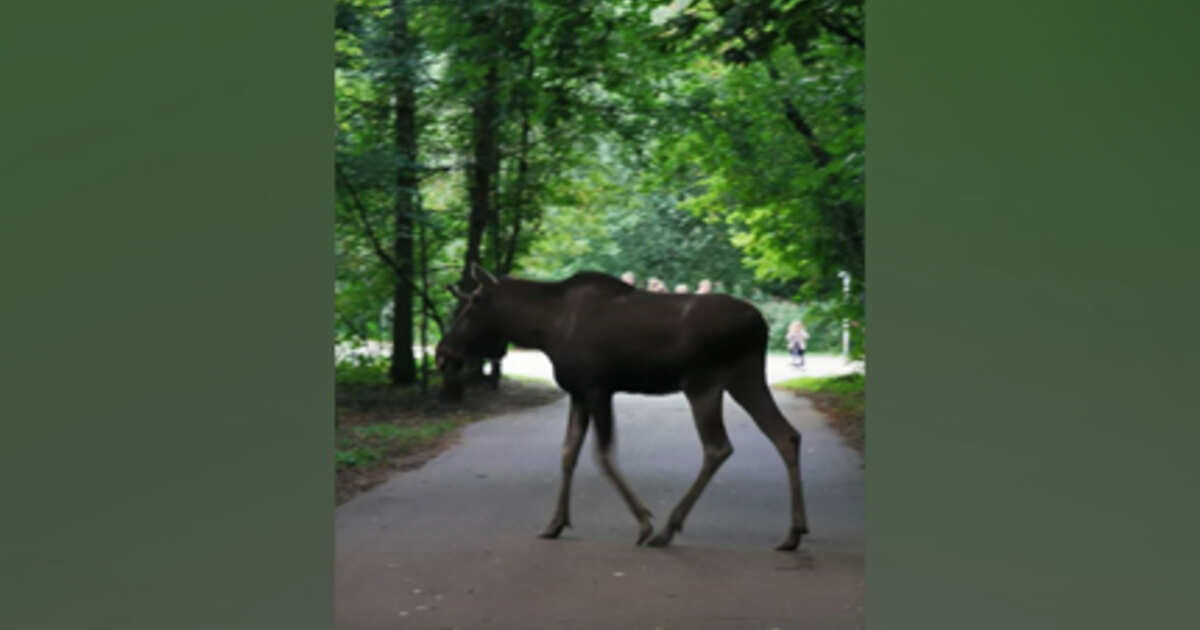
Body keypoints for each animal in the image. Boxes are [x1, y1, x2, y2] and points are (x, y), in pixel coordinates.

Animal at [436, 262, 811, 547]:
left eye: (470, 308)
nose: (442, 355)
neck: (543, 331)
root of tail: (760, 324)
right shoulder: (578, 392)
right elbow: (568, 453)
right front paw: (555, 522)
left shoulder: (597, 388)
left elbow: (602, 455)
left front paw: (644, 522)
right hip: (744, 379)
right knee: (786, 435)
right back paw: (794, 531)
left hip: (703, 384)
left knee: (718, 447)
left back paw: (667, 528)